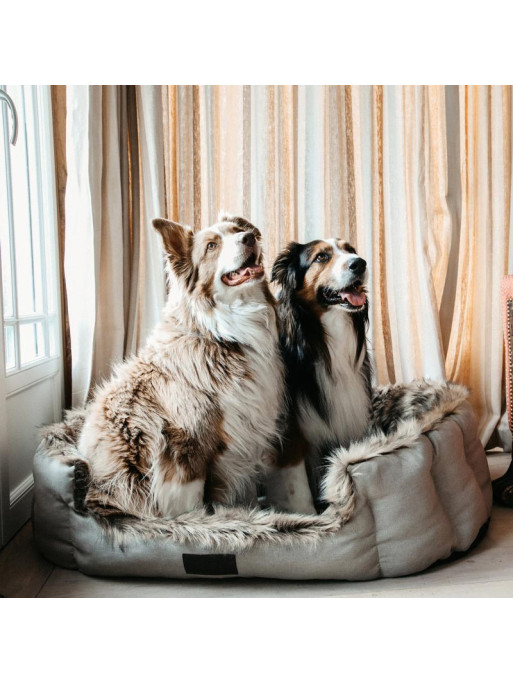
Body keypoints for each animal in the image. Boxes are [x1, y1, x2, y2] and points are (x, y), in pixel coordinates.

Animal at [78, 214, 306, 520]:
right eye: (211, 246)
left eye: (238, 230)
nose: (249, 238)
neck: (222, 336)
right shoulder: (184, 445)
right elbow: (189, 507)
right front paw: (199, 524)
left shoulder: (245, 438)